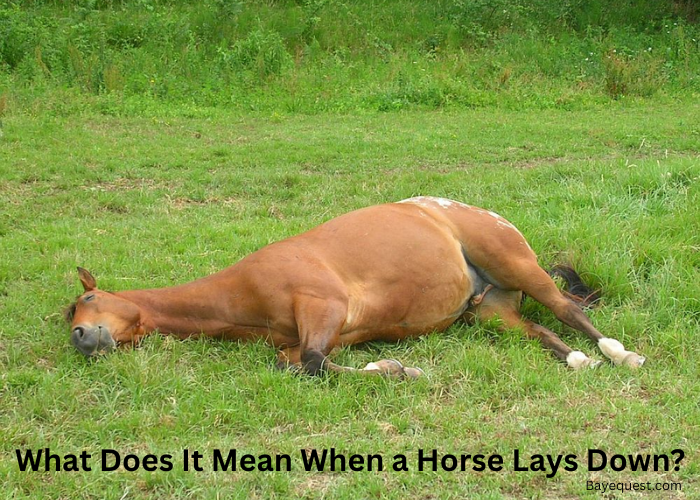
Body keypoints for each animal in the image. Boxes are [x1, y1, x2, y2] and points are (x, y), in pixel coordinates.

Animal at [65, 196, 645, 377]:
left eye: (87, 300)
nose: (80, 338)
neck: (240, 293)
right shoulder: (312, 337)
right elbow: (302, 364)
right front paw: (391, 367)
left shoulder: (323, 308)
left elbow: (314, 365)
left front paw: (400, 371)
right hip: (490, 312)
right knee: (543, 332)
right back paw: (578, 361)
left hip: (517, 265)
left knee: (567, 310)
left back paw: (620, 355)